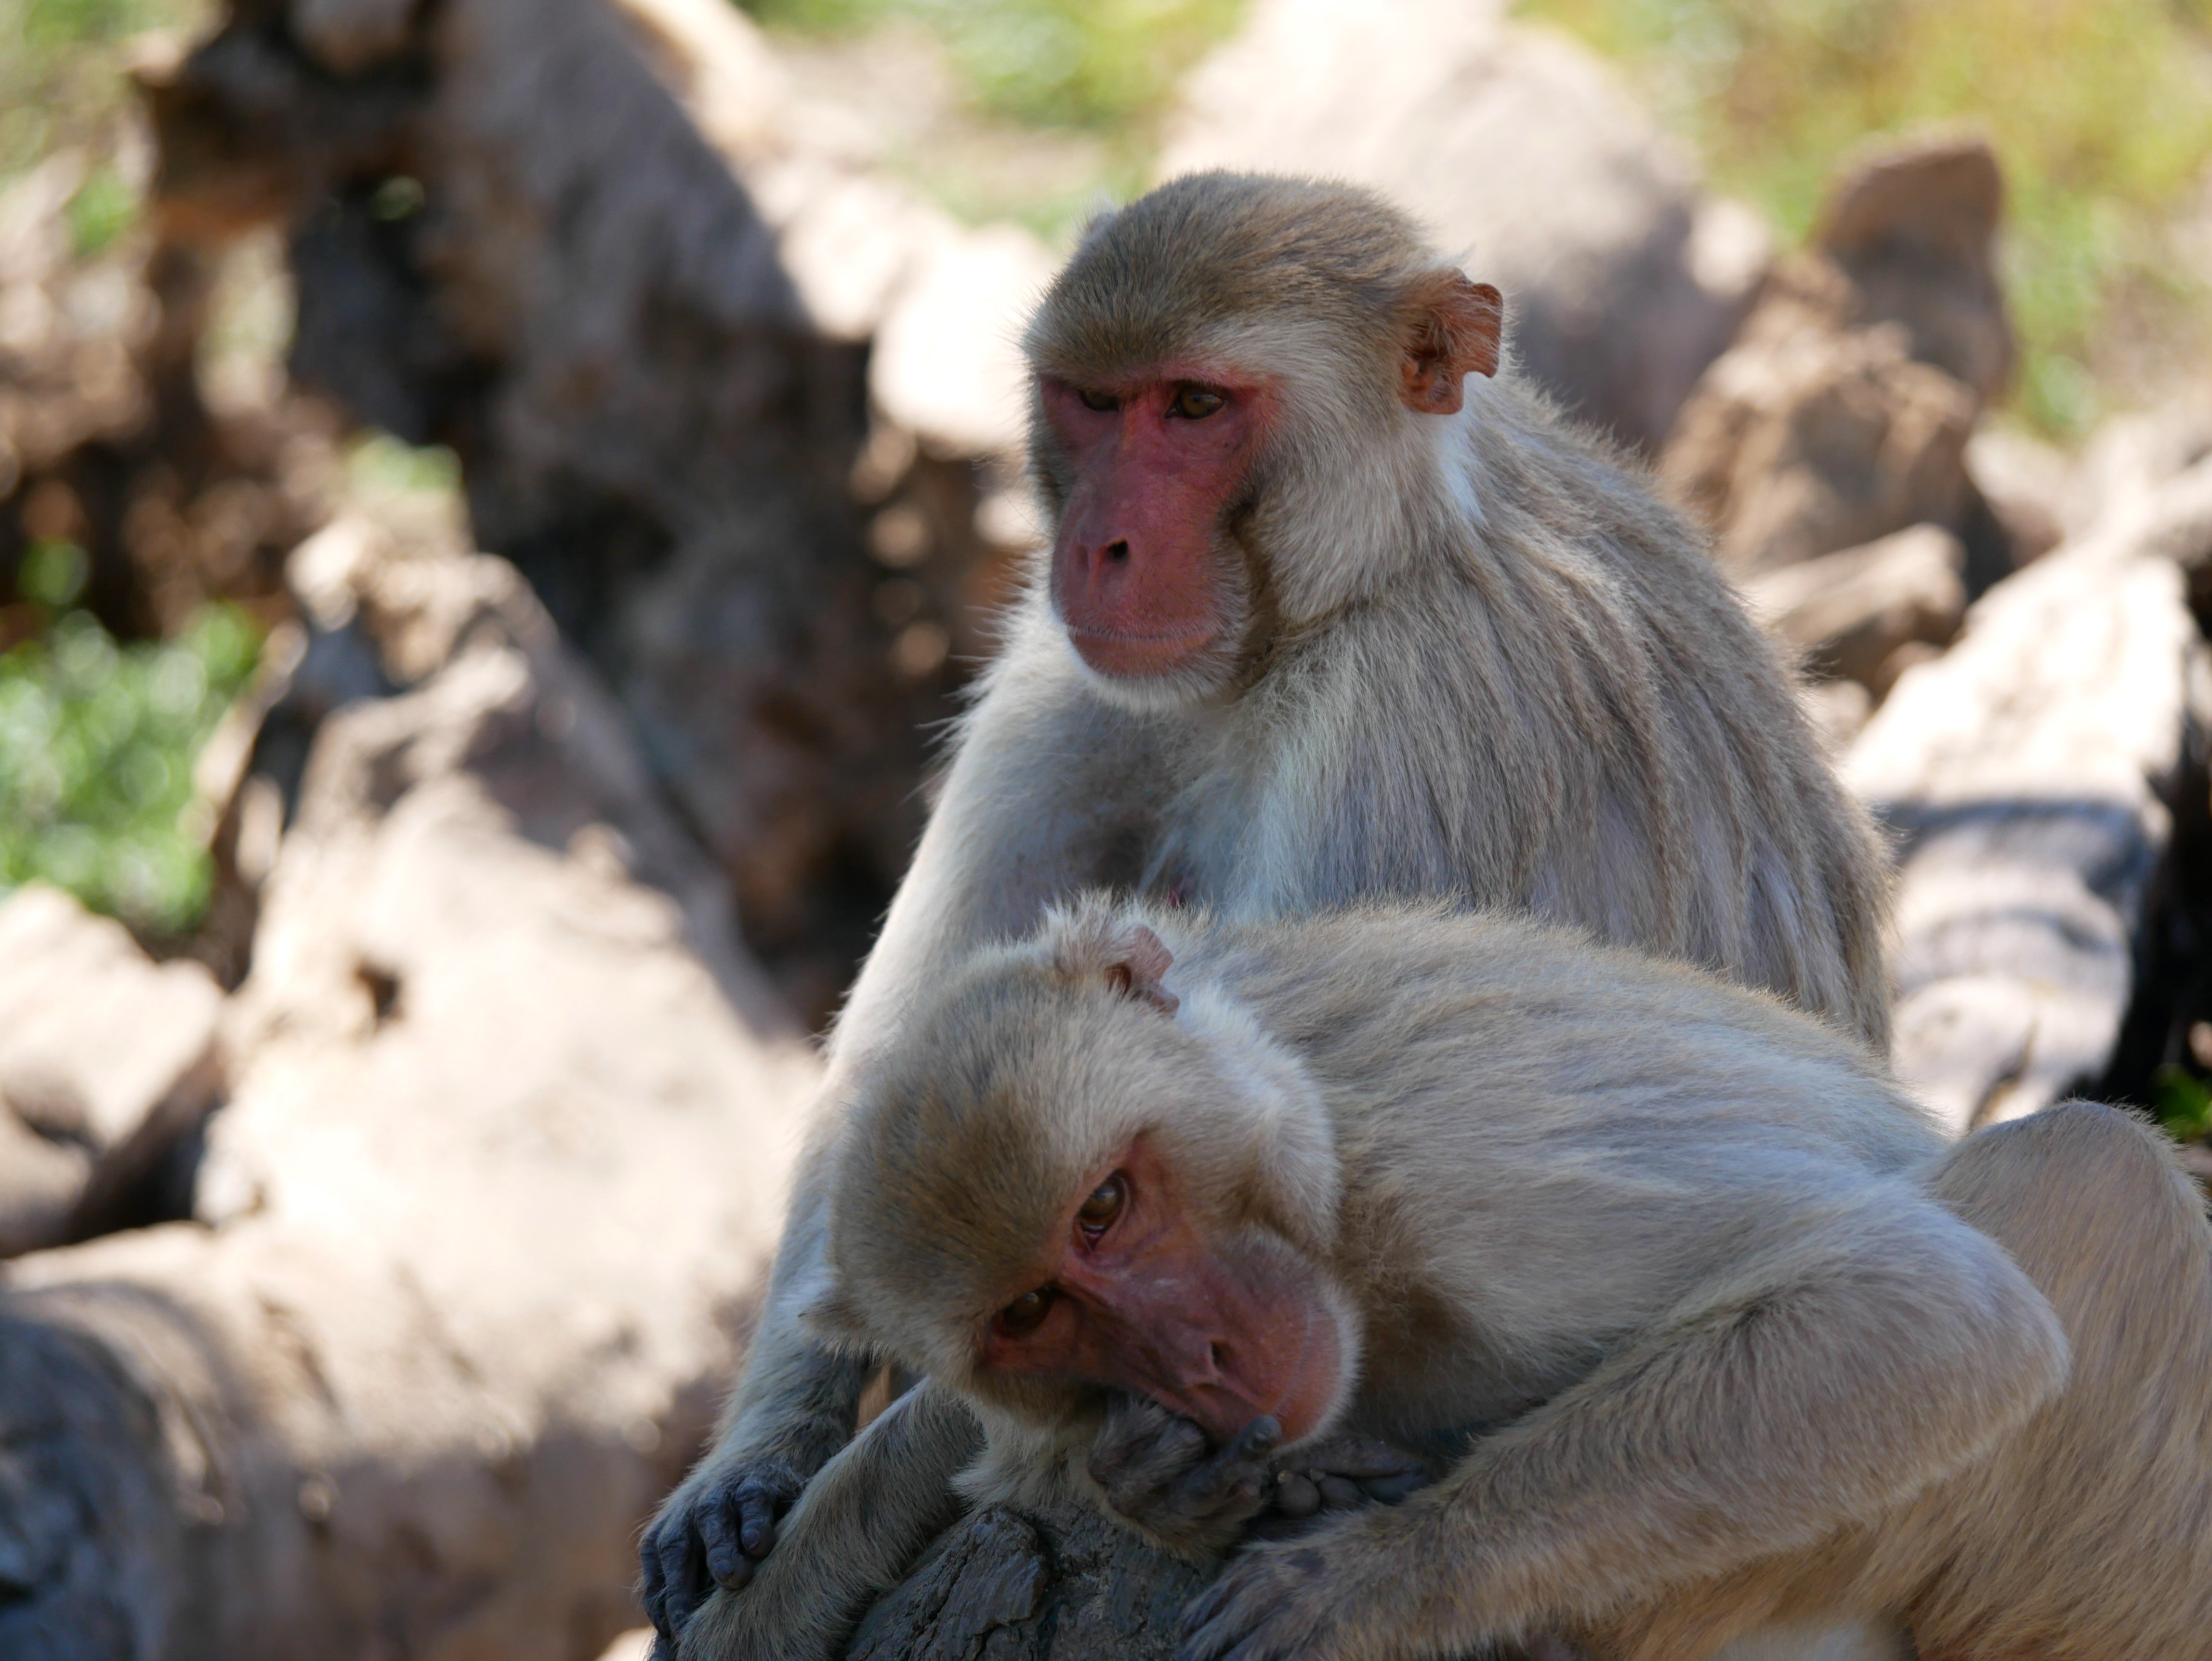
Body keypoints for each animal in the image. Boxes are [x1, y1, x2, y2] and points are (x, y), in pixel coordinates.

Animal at [645, 176, 1902, 1654]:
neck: (1347, 590)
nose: (1099, 545)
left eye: (1196, 406)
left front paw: (792, 1578)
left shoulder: (1406, 728)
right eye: (1094, 402)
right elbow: (919, 1090)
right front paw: (754, 1467)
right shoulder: (1070, 665)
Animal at [699, 902, 2212, 1661]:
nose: (1199, 1357)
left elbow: (1925, 1311)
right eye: (1030, 1311)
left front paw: (1383, 1576)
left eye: (1107, 1205)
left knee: (2091, 1177)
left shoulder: (1477, 1174)